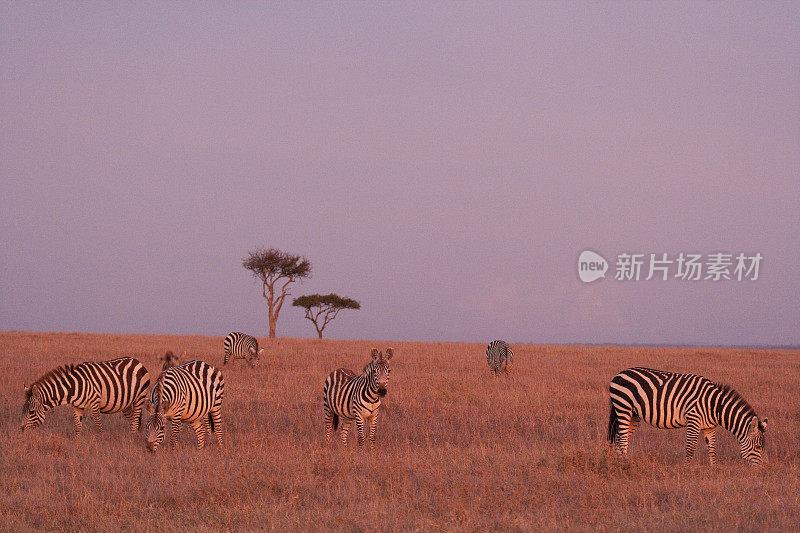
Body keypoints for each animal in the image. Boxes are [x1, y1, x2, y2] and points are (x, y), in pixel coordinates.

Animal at [21, 356, 152, 434]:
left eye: (31, 412)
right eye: (23, 410)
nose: (21, 431)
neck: (74, 386)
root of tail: (137, 361)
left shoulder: (95, 403)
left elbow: (98, 426)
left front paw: (100, 442)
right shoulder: (76, 406)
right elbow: (78, 427)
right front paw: (77, 445)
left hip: (139, 397)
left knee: (135, 420)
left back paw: (133, 437)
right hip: (125, 403)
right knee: (132, 419)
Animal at [608, 368, 768, 464]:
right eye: (758, 446)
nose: (763, 469)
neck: (715, 405)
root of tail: (619, 373)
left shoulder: (709, 426)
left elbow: (712, 449)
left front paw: (714, 469)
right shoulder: (693, 419)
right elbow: (690, 448)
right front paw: (687, 470)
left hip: (633, 415)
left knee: (620, 437)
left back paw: (619, 461)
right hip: (623, 407)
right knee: (621, 438)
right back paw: (624, 463)